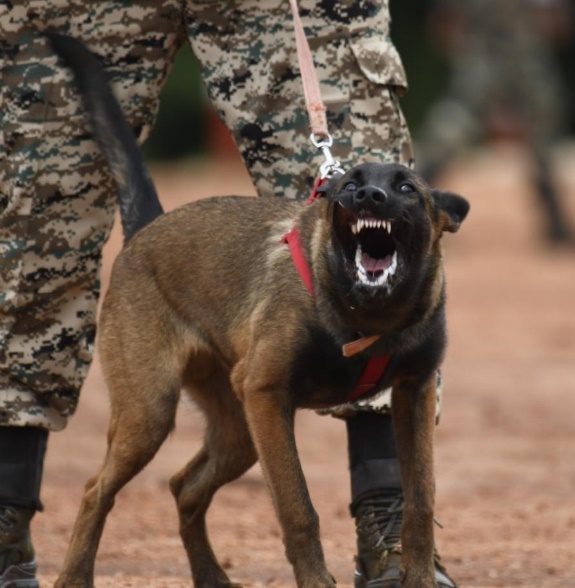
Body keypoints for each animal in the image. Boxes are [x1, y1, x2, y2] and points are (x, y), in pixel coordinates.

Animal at [49, 34, 470, 588]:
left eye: (406, 188)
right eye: (349, 183)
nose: (366, 194)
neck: (369, 316)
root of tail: (148, 230)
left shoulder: (414, 393)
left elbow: (420, 500)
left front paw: (418, 577)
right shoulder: (269, 397)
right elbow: (298, 509)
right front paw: (317, 582)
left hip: (235, 430)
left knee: (183, 486)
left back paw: (210, 575)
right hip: (151, 413)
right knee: (97, 489)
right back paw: (74, 576)